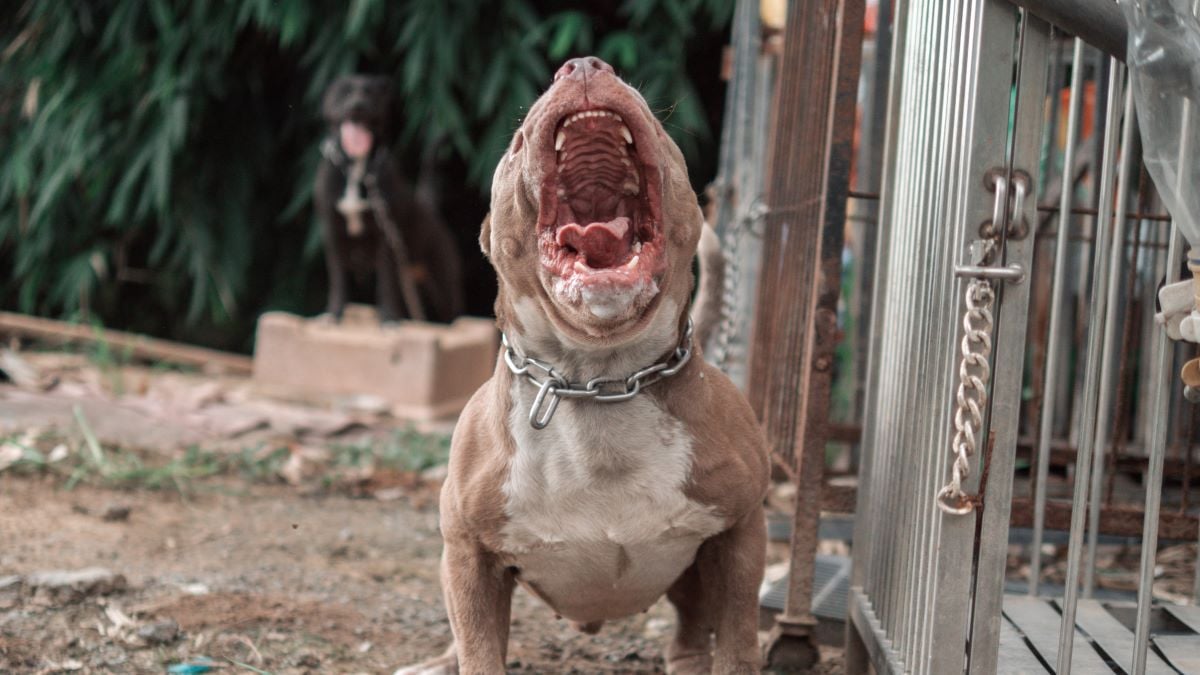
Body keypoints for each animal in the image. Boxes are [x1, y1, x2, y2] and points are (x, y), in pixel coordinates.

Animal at [314, 74, 463, 321]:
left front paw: (389, 318)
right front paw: (334, 314)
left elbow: (386, 283)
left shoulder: (386, 240)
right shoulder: (332, 234)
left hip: (443, 284)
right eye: (344, 92)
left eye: (369, 93)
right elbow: (338, 279)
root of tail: (429, 207)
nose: (357, 106)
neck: (357, 169)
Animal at [396, 56, 768, 672]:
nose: (586, 64)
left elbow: (738, 644)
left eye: (661, 128)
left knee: (690, 631)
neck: (599, 377)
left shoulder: (738, 537)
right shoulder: (469, 555)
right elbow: (478, 646)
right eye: (516, 142)